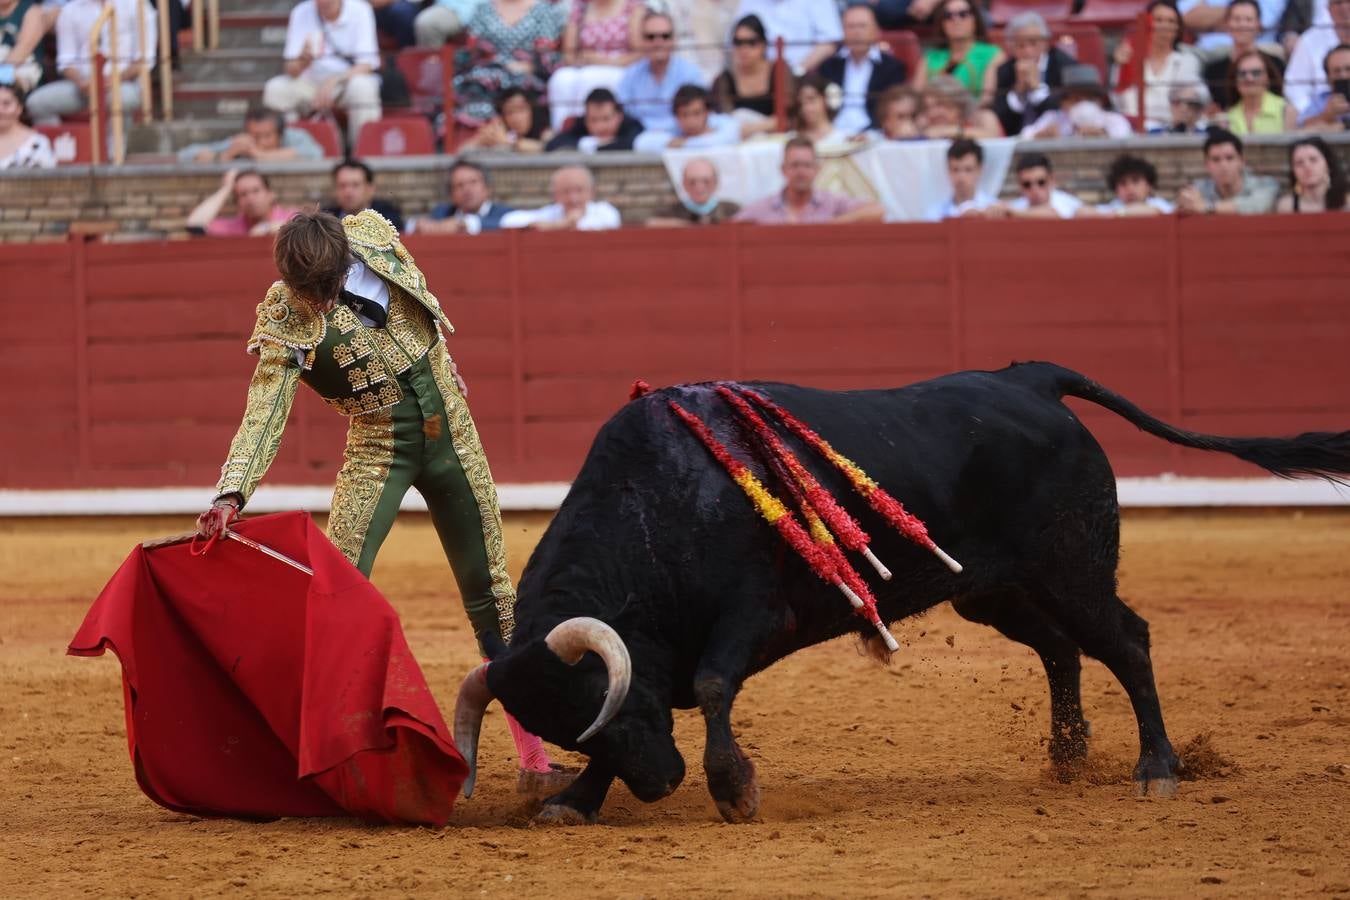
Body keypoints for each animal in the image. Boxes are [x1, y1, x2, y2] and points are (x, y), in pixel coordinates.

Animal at [456, 361, 1350, 825]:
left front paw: (735, 789)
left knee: (1126, 641)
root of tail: (1030, 380)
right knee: (1062, 649)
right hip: (995, 590)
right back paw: (1066, 758)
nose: (660, 786)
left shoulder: (753, 614)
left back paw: (1156, 768)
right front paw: (576, 801)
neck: (654, 505)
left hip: (1073, 568)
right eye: (563, 728)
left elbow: (709, 683)